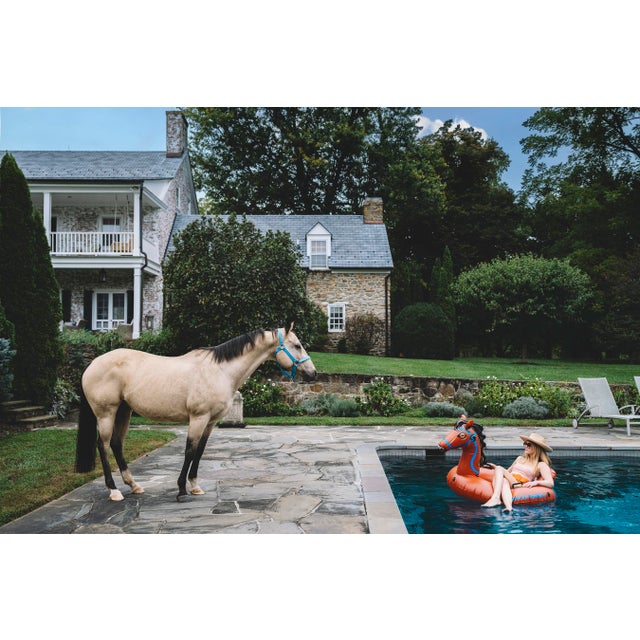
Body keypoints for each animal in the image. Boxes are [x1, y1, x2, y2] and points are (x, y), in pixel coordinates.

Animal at [75, 325, 316, 502]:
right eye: (297, 345)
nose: (313, 374)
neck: (220, 370)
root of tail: (93, 363)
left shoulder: (210, 422)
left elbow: (199, 451)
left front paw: (195, 486)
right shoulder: (198, 418)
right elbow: (189, 451)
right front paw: (181, 489)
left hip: (124, 411)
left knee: (116, 444)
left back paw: (134, 486)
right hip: (106, 414)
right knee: (103, 446)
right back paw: (114, 491)